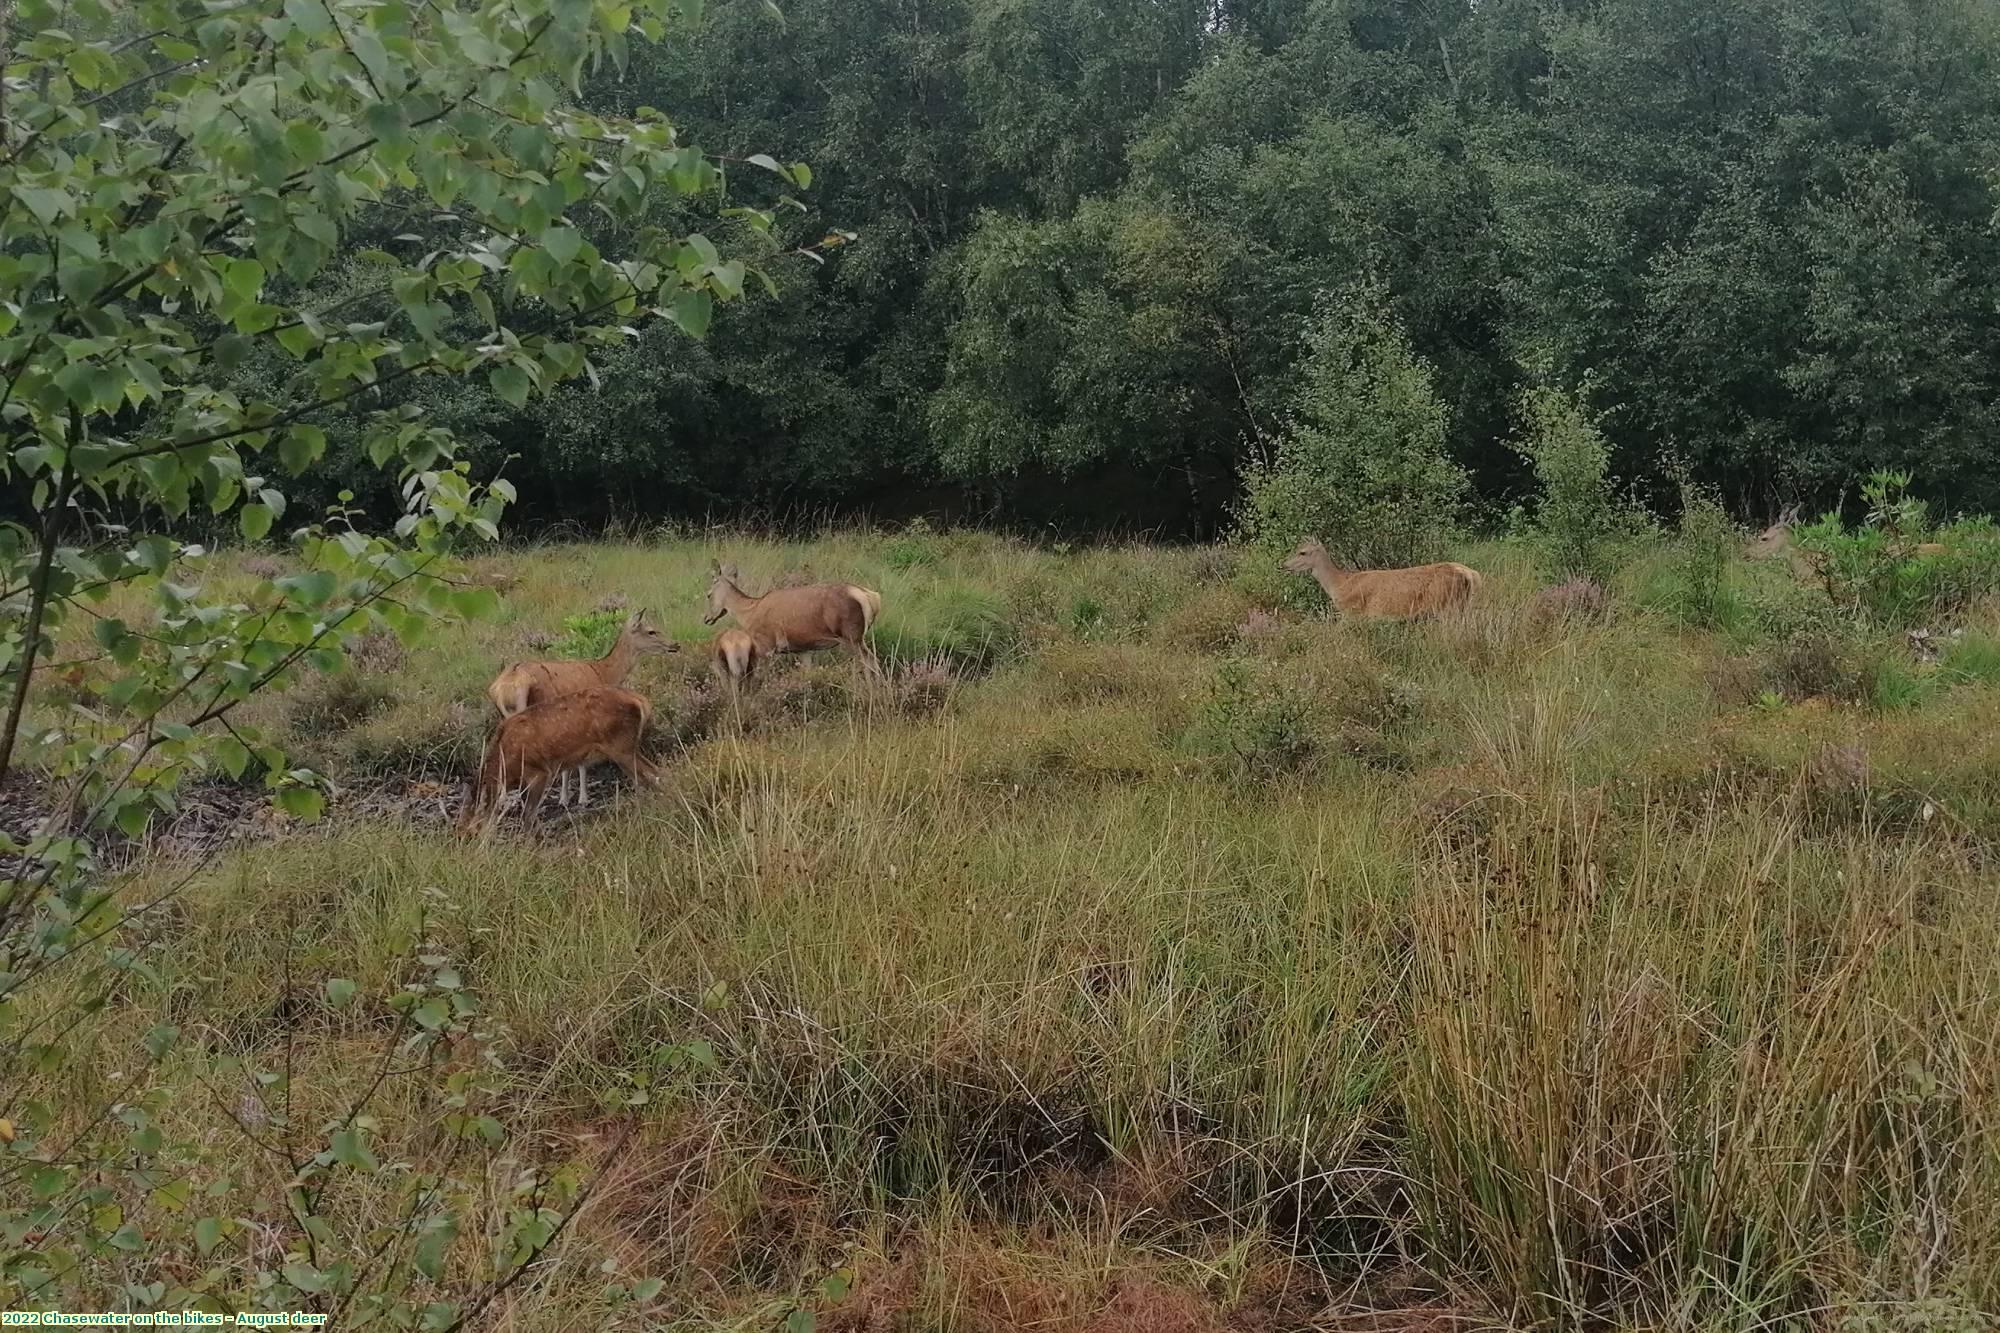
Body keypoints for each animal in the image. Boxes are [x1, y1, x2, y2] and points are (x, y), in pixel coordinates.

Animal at [456, 684, 656, 832]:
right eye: (458, 830)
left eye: (471, 833)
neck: (507, 768)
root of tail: (640, 701)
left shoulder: (539, 771)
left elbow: (528, 815)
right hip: (624, 748)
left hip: (621, 745)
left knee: (654, 774)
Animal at [484, 608, 680, 804]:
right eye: (651, 631)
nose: (675, 645)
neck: (604, 673)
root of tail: (507, 686)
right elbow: (580, 762)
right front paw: (579, 798)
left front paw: (567, 797)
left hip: (506, 715)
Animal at [708, 556, 888, 676]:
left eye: (708, 595)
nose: (706, 618)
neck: (748, 613)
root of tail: (871, 597)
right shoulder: (804, 648)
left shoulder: (765, 645)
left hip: (852, 635)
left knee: (871, 662)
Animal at [1288, 536, 1480, 616]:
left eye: (1302, 552)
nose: (1284, 565)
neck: (1339, 584)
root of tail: (1470, 574)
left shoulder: (1352, 612)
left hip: (1445, 605)